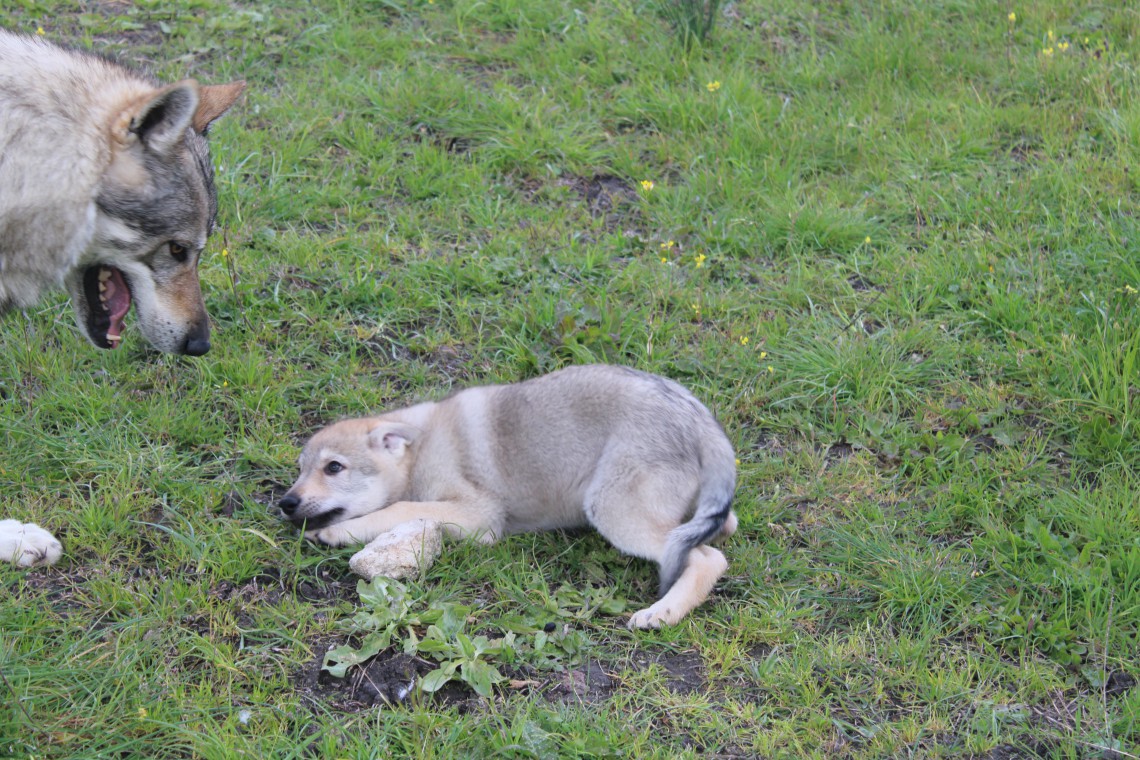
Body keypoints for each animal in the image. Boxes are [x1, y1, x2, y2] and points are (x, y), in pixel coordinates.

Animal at [280, 364, 734, 628]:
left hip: (612, 508)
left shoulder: (480, 515)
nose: (285, 503)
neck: (418, 450)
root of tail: (700, 419)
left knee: (707, 558)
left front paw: (336, 533)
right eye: (301, 469)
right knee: (720, 526)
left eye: (333, 468)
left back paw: (662, 613)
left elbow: (400, 508)